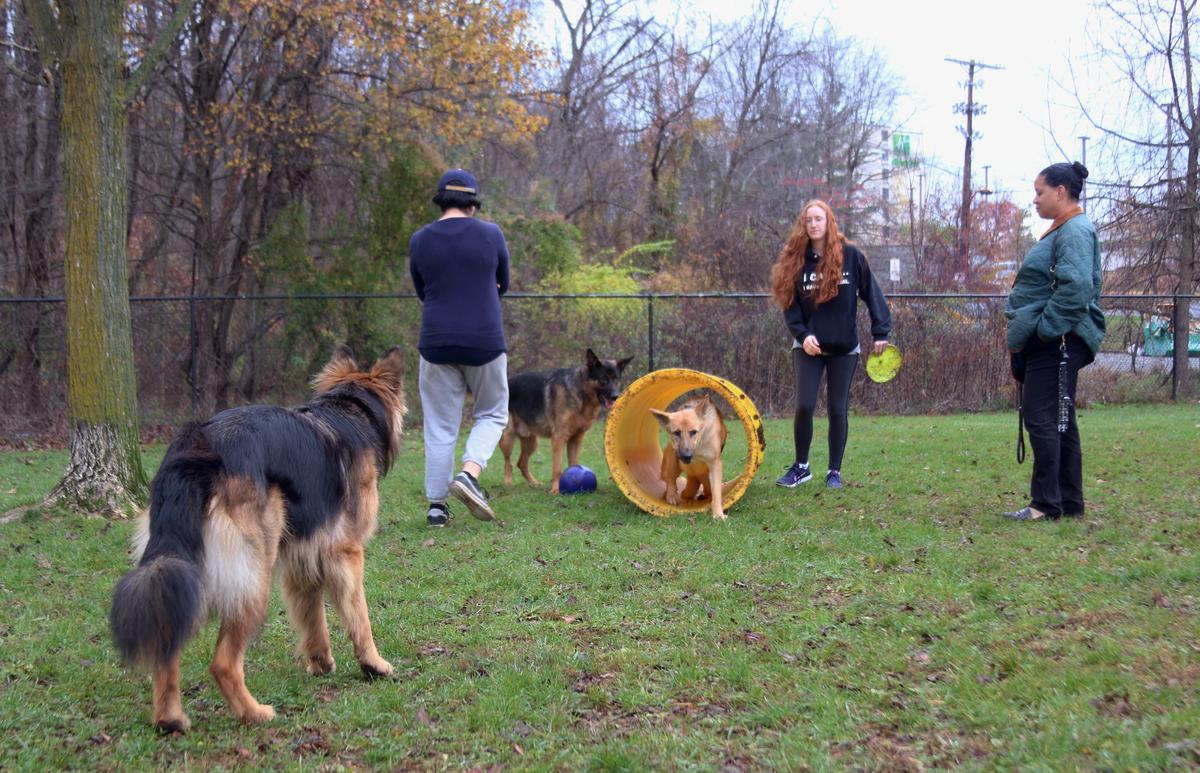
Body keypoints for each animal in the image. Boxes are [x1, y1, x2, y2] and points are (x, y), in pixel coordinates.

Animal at [109, 343, 408, 729]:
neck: (349, 410)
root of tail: (199, 446)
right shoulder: (346, 553)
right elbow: (359, 616)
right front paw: (373, 665)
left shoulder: (301, 560)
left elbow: (313, 616)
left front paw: (320, 662)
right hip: (252, 576)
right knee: (223, 663)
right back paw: (254, 713)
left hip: (182, 569)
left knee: (168, 640)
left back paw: (170, 719)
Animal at [496, 350, 633, 494]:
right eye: (603, 380)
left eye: (616, 379)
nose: (615, 396)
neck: (581, 393)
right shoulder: (559, 438)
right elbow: (557, 467)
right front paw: (555, 489)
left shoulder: (576, 439)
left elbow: (574, 463)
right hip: (507, 439)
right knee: (508, 462)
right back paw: (508, 482)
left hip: (531, 442)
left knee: (521, 463)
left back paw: (534, 483)